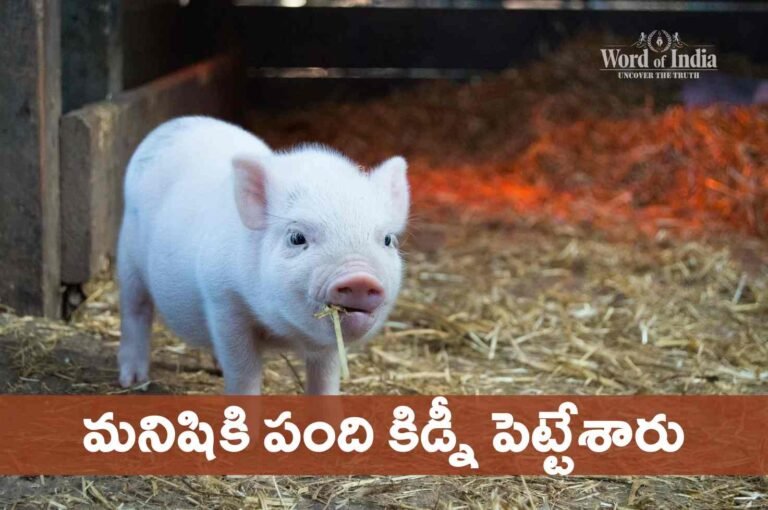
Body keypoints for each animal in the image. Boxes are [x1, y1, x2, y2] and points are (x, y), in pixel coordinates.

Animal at [117, 116, 409, 394]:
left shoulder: (327, 346)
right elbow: (244, 374)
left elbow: (325, 380)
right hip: (128, 257)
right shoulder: (224, 302)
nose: (360, 278)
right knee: (136, 311)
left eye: (387, 240)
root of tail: (174, 123)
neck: (284, 333)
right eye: (297, 238)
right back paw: (132, 380)